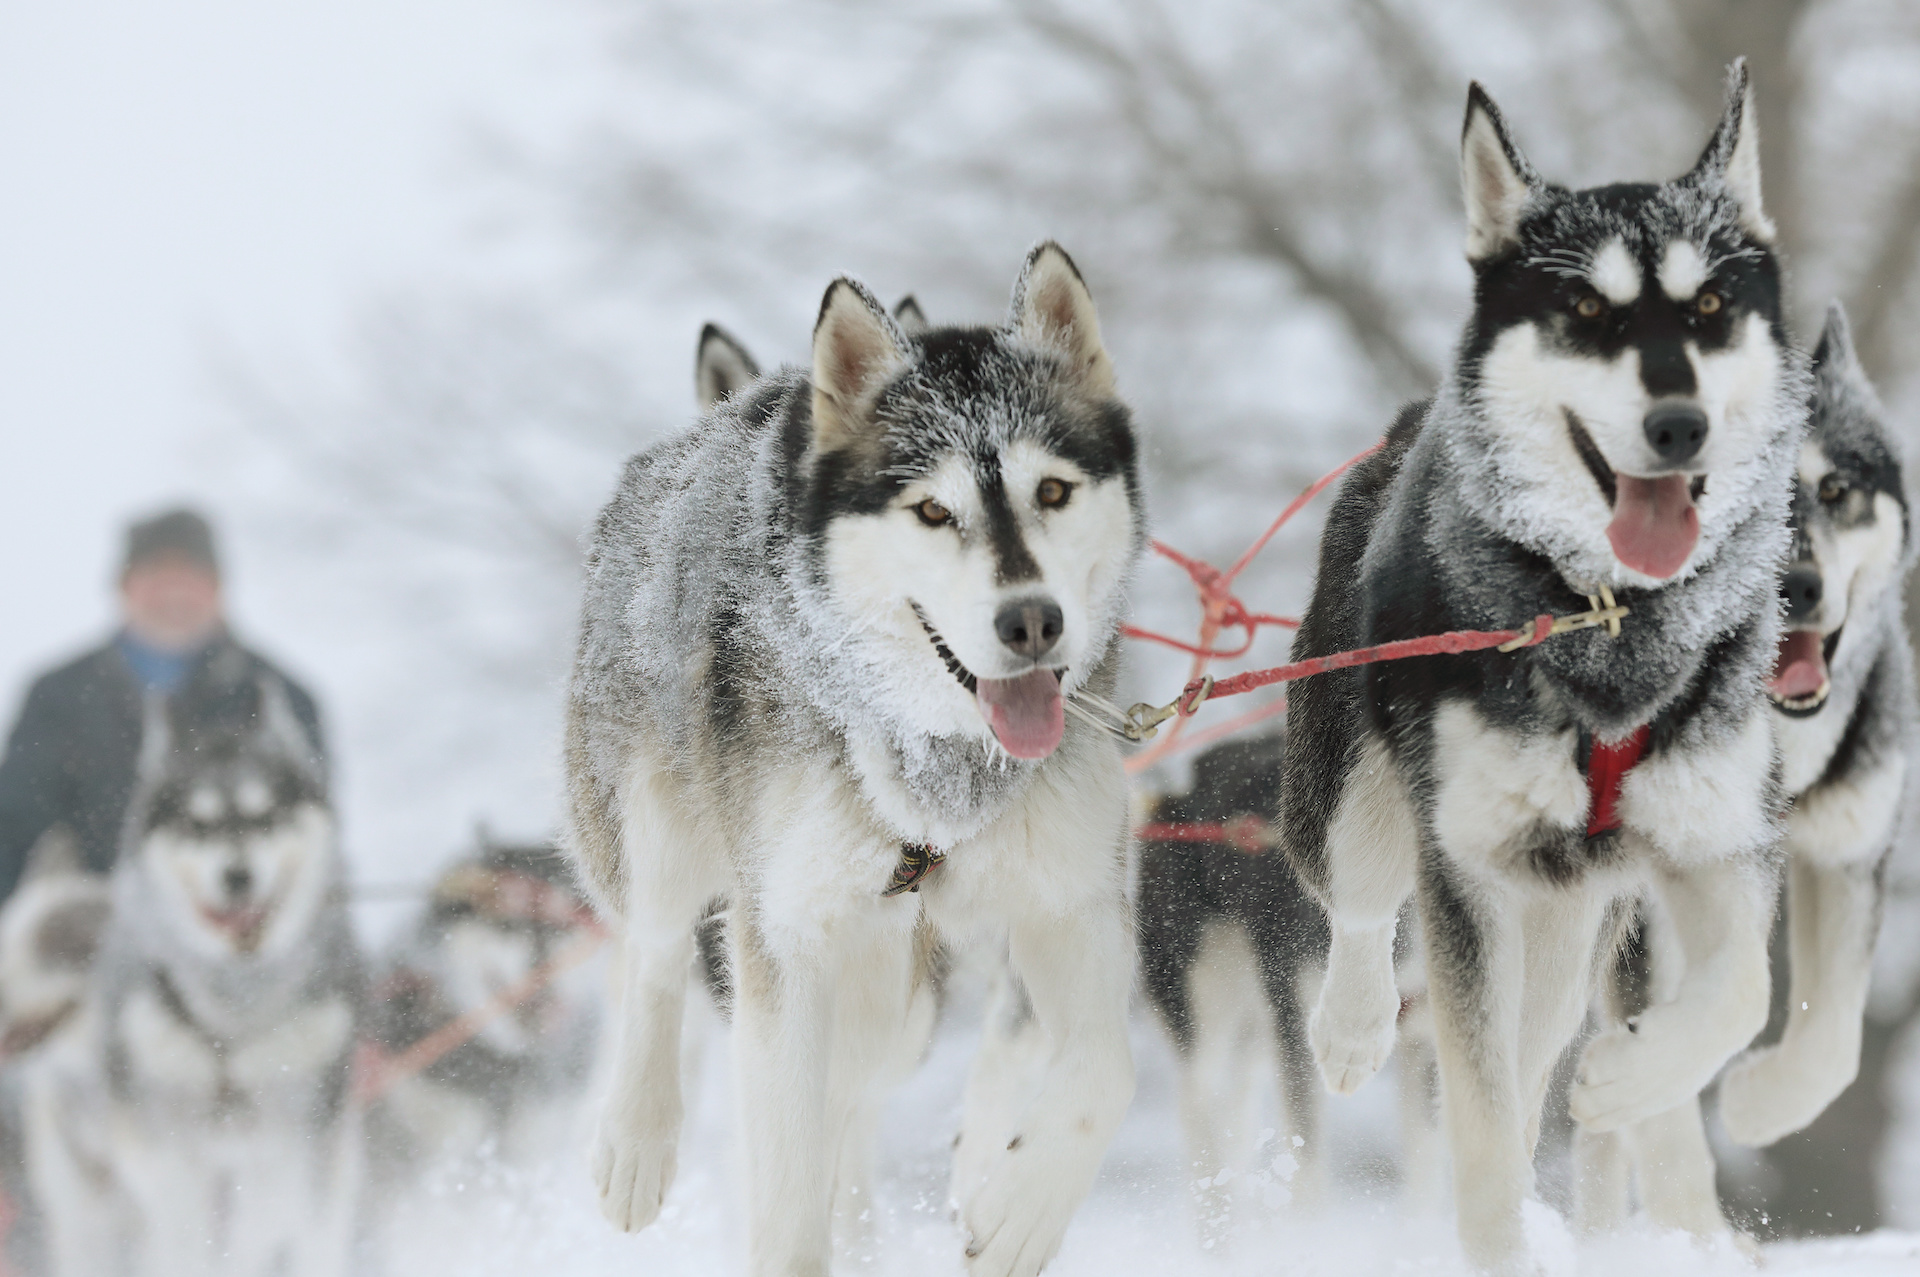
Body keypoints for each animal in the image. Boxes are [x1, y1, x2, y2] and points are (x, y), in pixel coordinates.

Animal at [24, 660, 362, 1267]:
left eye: (266, 815)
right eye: (196, 824)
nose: (237, 876)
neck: (233, 1004)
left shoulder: (297, 1133)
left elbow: (266, 1220)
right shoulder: (166, 1148)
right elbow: (188, 1235)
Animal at [568, 243, 1136, 1267]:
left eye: (1054, 491)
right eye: (931, 511)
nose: (1031, 620)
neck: (937, 760)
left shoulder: (1070, 898)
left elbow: (1105, 1070)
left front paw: (1017, 1209)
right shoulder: (784, 941)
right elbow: (787, 1197)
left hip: (887, 989)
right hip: (663, 820)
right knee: (655, 948)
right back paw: (635, 1139)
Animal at [1282, 67, 1804, 1267]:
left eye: (1711, 309)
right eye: (1587, 313)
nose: (1678, 422)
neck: (1610, 620)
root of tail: (1409, 417)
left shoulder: (1717, 838)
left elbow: (1744, 991)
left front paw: (1633, 1074)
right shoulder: (1464, 866)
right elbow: (1473, 1116)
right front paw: (1490, 1234)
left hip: (1573, 915)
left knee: (1536, 1046)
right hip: (1356, 795)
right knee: (1362, 907)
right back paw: (1352, 1026)